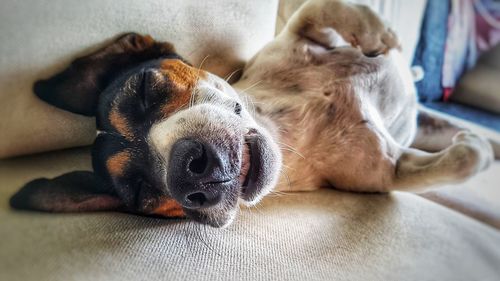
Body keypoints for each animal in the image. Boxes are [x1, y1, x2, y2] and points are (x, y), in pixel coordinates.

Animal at [9, 0, 498, 226]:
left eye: (146, 89)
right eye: (142, 193)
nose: (189, 171)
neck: (292, 130)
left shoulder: (293, 36)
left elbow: (316, 9)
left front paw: (384, 38)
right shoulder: (386, 174)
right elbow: (465, 159)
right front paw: (472, 144)